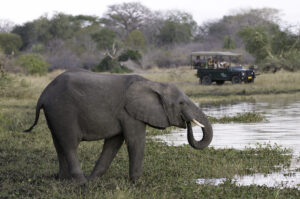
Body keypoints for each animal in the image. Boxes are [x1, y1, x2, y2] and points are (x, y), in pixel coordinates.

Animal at [24, 69, 213, 183]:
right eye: (181, 103)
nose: (187, 122)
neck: (153, 83)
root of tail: (44, 94)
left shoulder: (122, 115)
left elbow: (114, 143)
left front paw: (95, 180)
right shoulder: (129, 113)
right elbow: (135, 142)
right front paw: (137, 182)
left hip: (54, 114)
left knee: (59, 144)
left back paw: (64, 179)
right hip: (63, 110)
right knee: (69, 144)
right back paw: (80, 182)